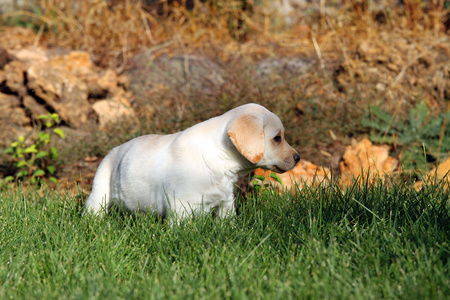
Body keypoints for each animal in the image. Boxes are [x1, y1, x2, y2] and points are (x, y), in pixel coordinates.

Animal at [84, 104, 298, 219]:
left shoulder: (226, 203)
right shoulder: (181, 208)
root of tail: (115, 150)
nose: (298, 157)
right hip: (100, 192)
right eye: (277, 138)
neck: (216, 158)